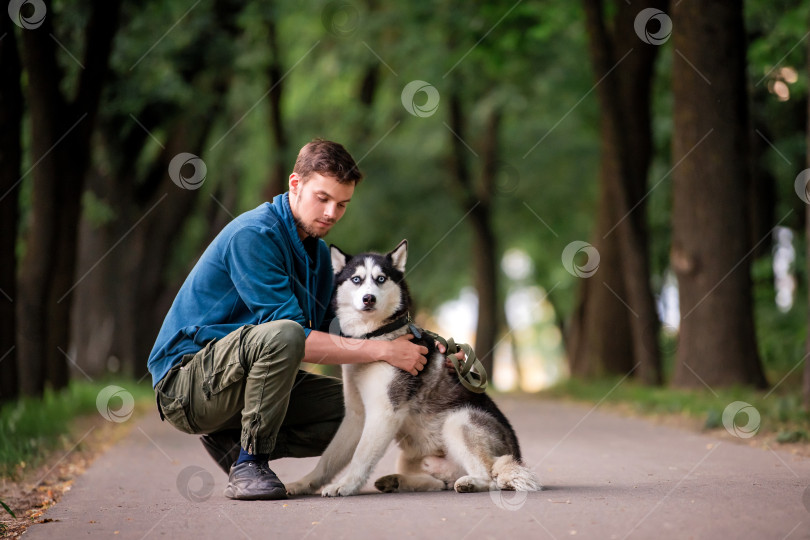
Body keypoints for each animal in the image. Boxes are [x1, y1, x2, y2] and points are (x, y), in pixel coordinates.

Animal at [286, 242, 544, 498]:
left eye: (381, 279)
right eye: (356, 279)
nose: (369, 298)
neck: (375, 339)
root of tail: (516, 454)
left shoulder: (384, 412)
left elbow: (361, 456)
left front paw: (346, 485)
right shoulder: (356, 416)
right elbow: (327, 460)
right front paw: (302, 484)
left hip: (458, 420)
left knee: (490, 477)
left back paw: (471, 482)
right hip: (414, 454)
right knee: (439, 482)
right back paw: (396, 481)